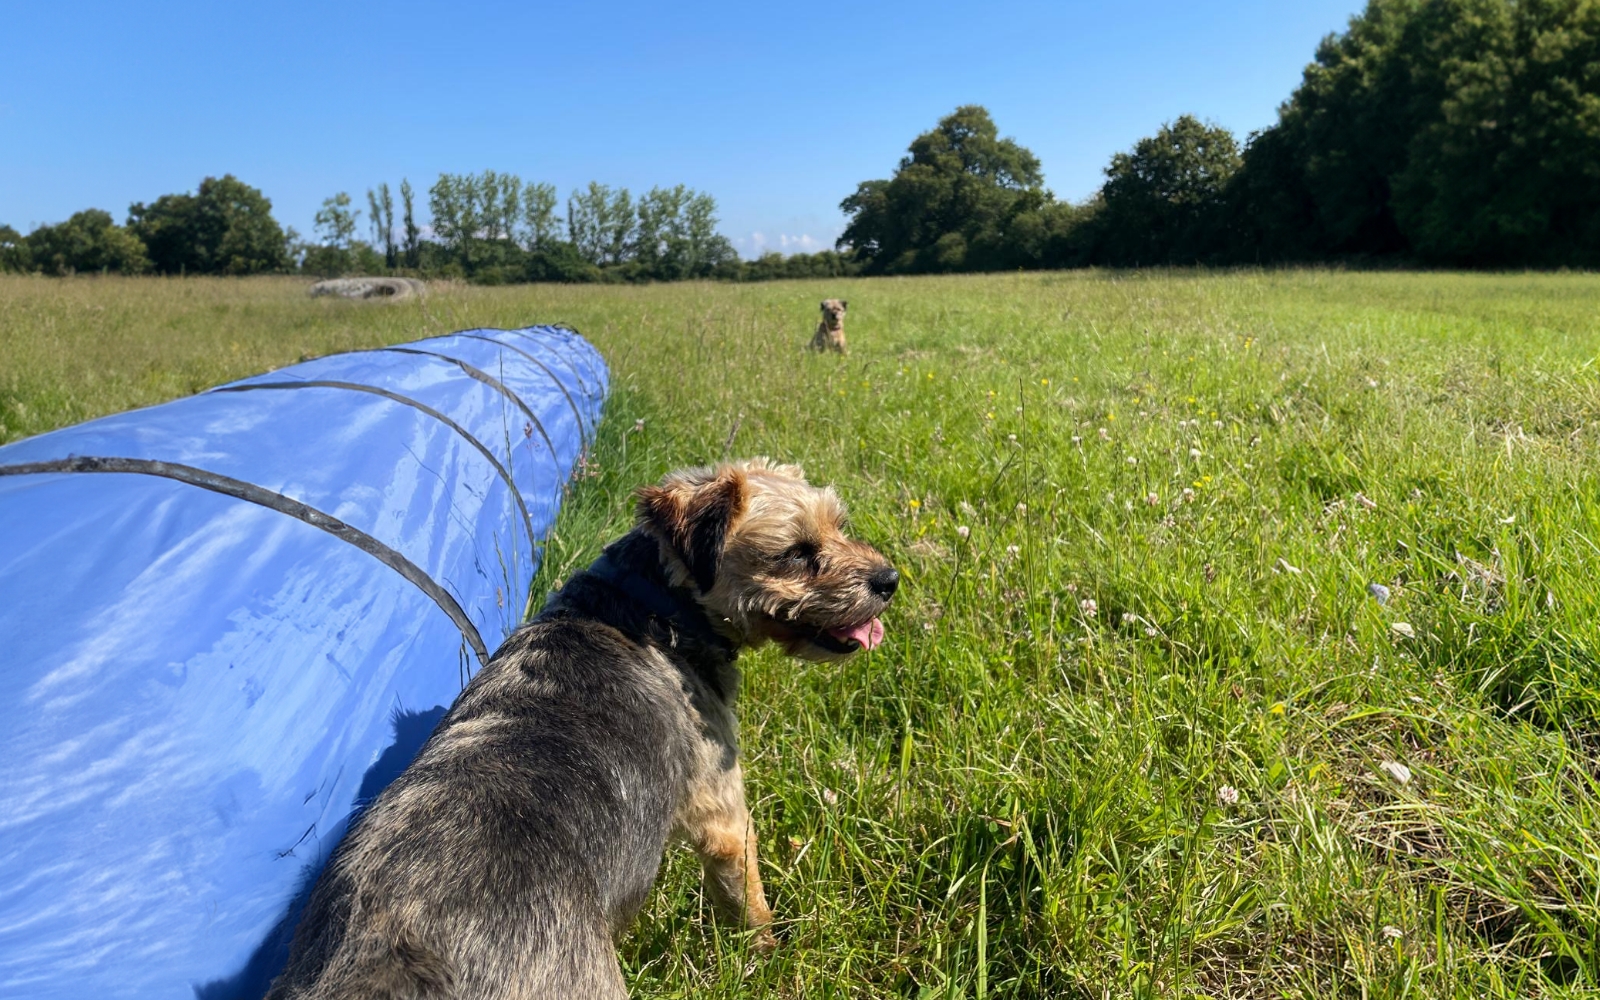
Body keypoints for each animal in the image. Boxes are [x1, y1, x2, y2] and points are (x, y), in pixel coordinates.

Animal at [265, 457, 902, 998]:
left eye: (840, 525)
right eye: (796, 552)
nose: (889, 579)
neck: (652, 603)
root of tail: (393, 958)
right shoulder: (723, 814)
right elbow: (748, 903)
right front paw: (766, 958)